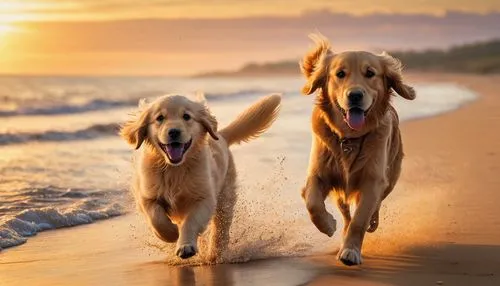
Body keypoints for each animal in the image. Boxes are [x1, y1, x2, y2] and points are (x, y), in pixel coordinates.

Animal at [119, 92, 280, 262]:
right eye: (160, 118)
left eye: (186, 116)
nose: (174, 132)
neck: (175, 169)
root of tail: (221, 136)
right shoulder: (147, 196)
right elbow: (157, 218)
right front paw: (172, 233)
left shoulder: (204, 198)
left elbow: (191, 221)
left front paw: (185, 246)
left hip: (225, 197)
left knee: (221, 228)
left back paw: (214, 254)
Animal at [298, 34, 416, 268]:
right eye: (340, 74)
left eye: (370, 73)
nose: (355, 95)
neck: (349, 138)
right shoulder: (318, 174)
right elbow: (313, 203)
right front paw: (328, 225)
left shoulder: (373, 180)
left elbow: (360, 219)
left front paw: (350, 250)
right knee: (345, 213)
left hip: (391, 177)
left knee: (376, 205)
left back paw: (372, 222)